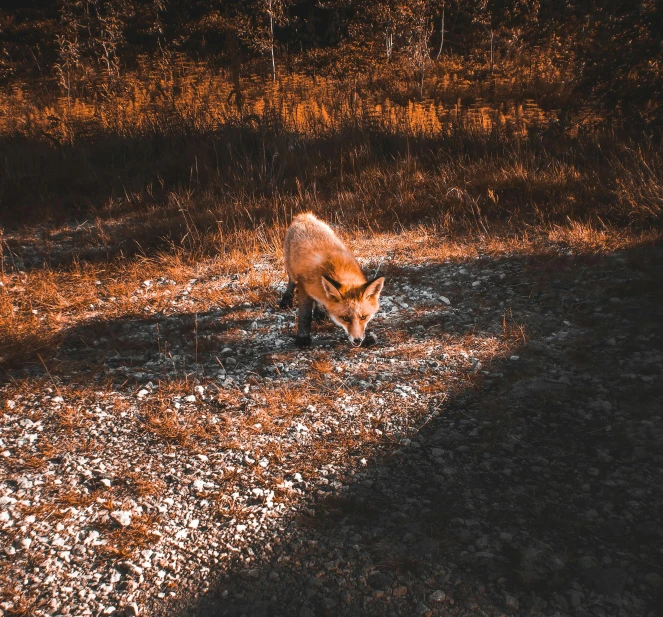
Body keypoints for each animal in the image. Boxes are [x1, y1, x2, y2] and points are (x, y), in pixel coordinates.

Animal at [278, 212, 384, 346]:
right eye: (345, 318)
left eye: (364, 317)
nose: (357, 341)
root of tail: (305, 216)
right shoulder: (303, 286)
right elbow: (305, 315)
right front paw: (303, 338)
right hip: (291, 268)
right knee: (291, 281)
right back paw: (286, 300)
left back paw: (318, 311)